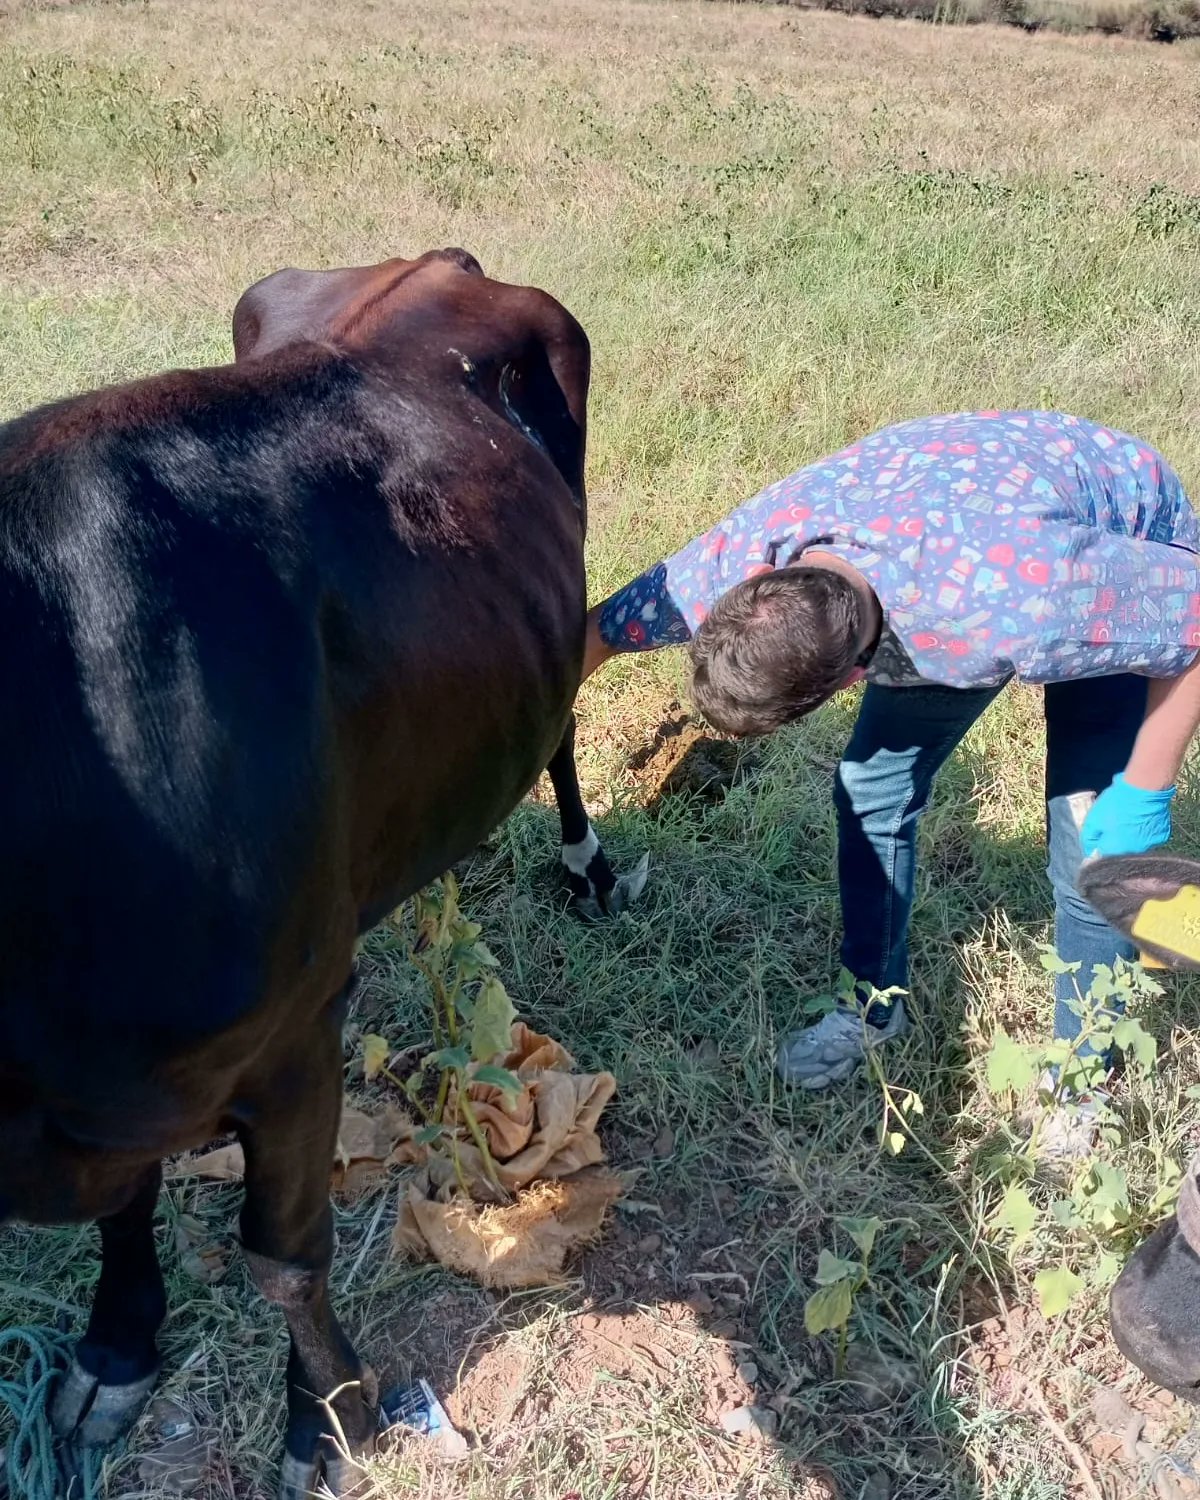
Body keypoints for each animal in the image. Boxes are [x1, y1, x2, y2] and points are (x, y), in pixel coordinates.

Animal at [0, 249, 636, 1500]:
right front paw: (115, 1349)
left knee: (565, 722)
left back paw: (585, 864)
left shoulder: (292, 1035)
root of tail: (437, 261)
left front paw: (328, 1419)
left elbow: (283, 1261)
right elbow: (128, 1208)